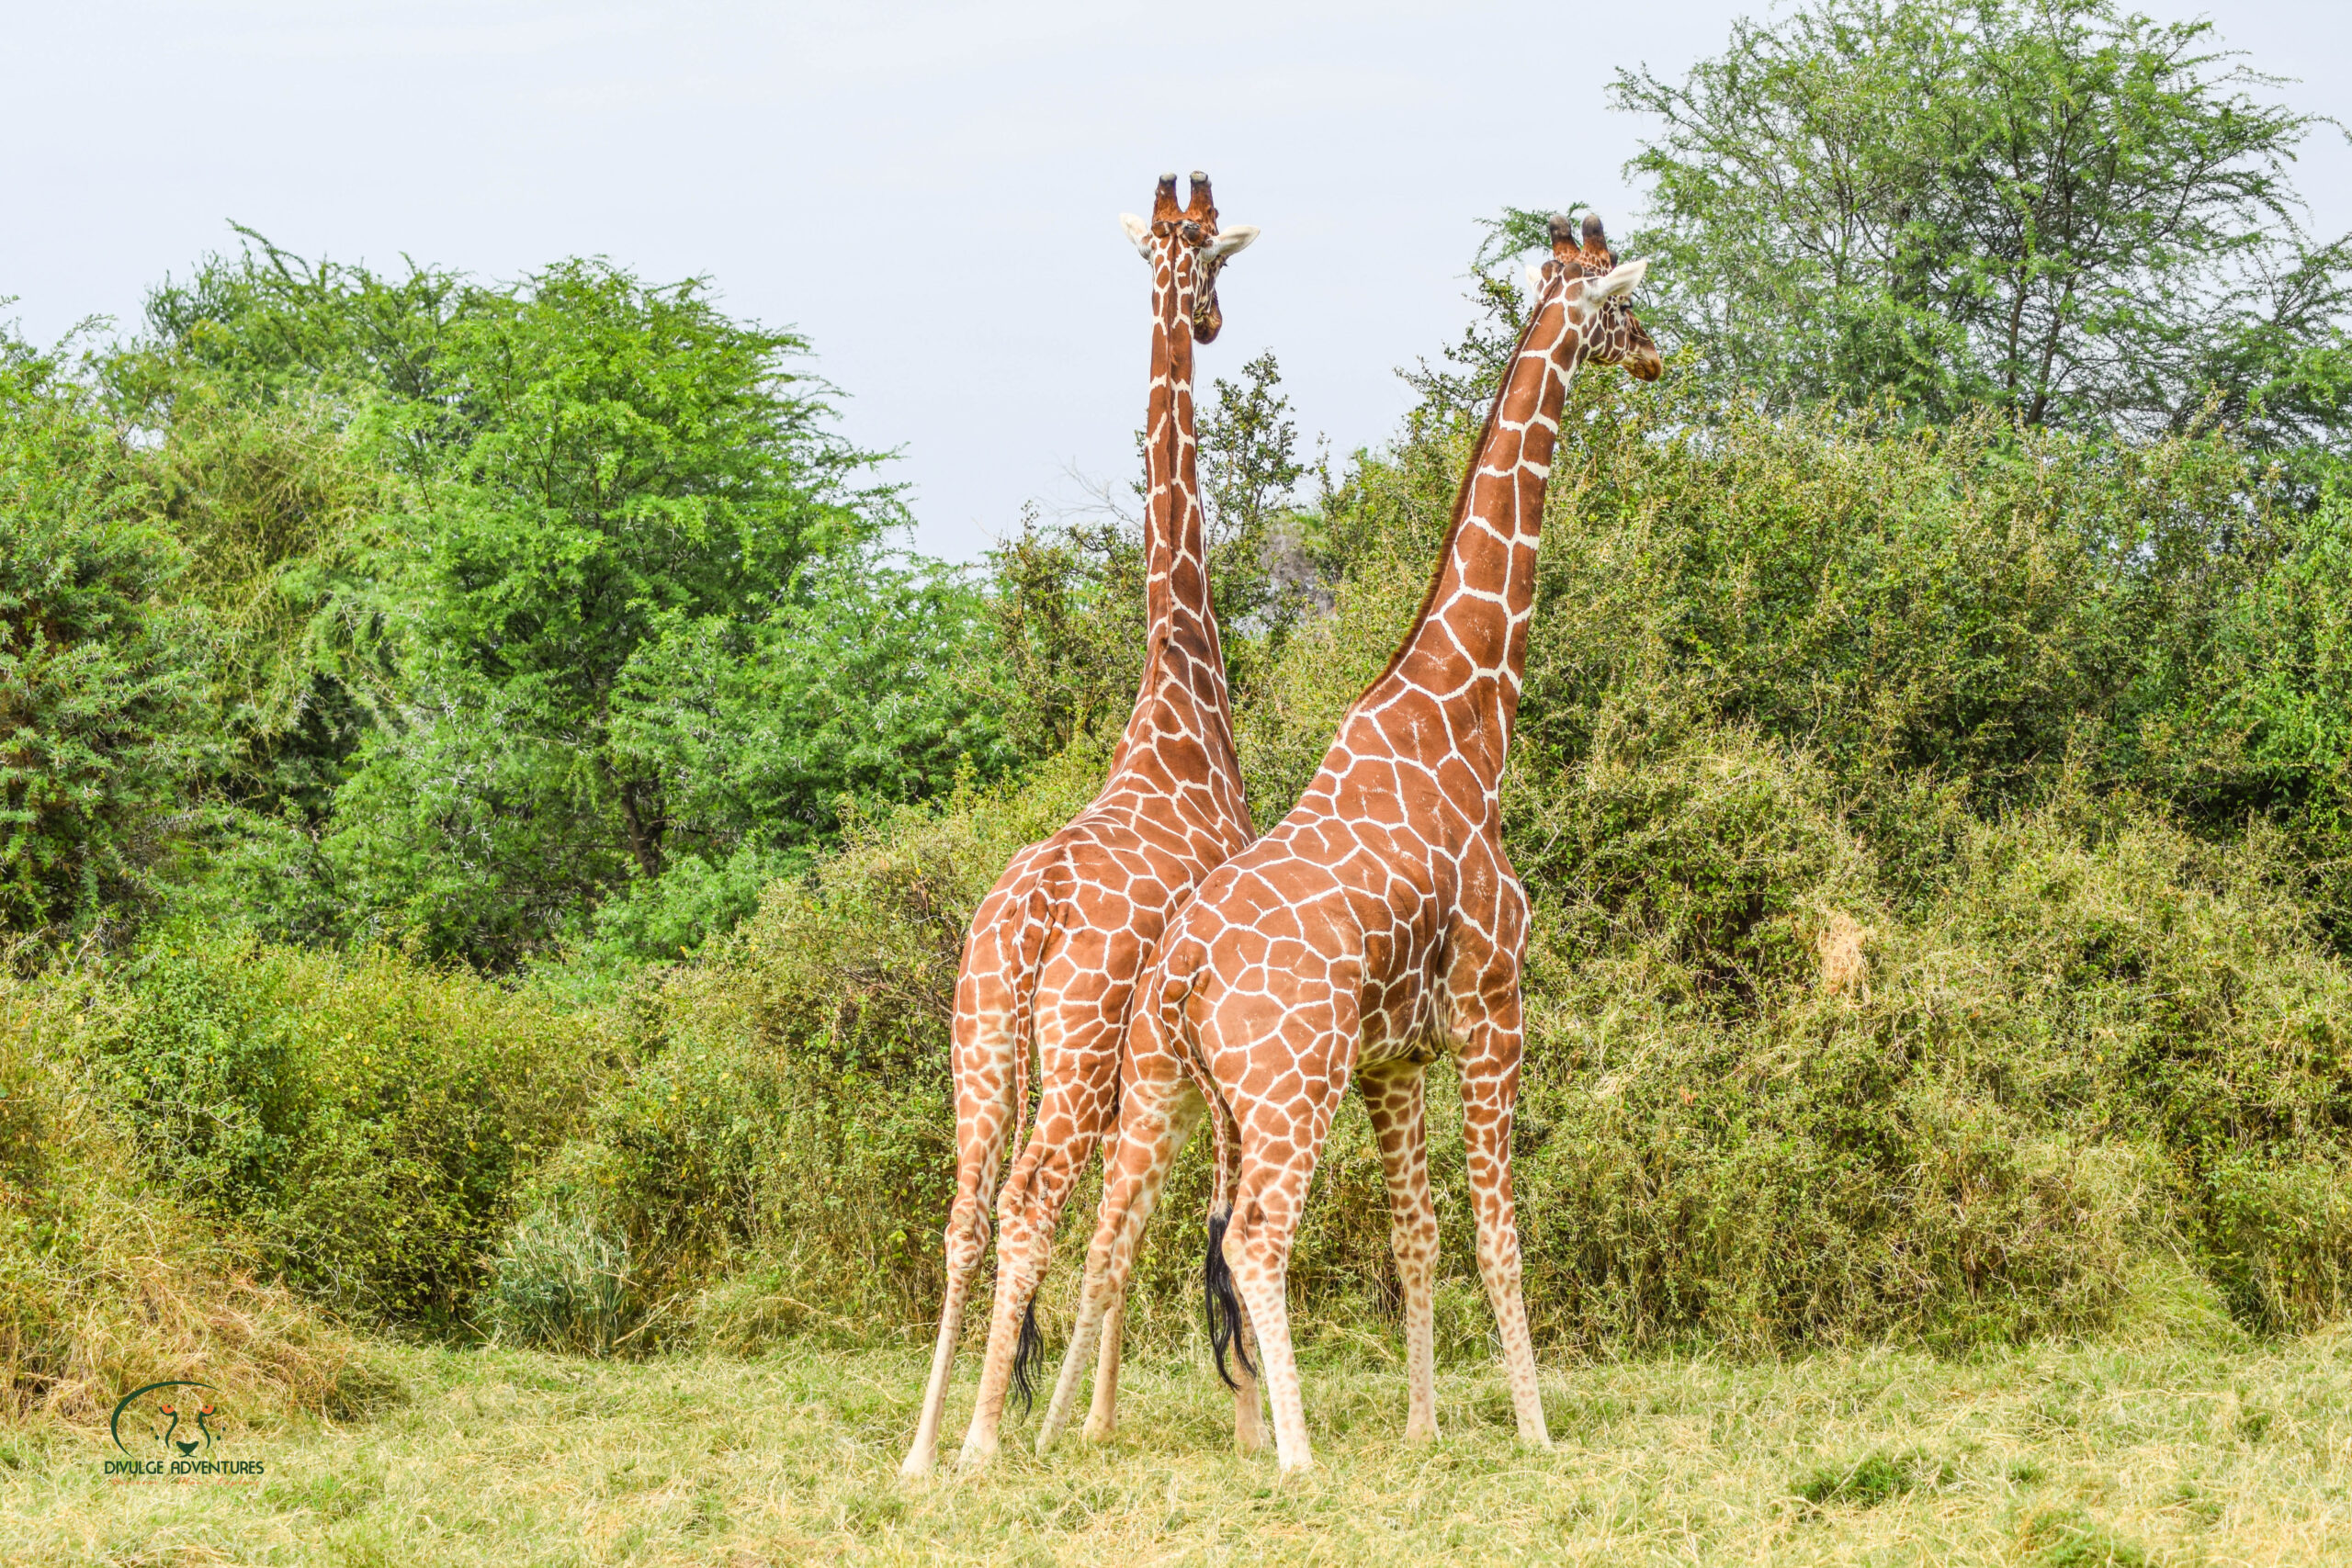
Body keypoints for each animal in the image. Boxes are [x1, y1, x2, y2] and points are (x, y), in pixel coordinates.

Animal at [899, 172, 1262, 1479]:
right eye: (1216, 259)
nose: (1209, 320)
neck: (1179, 701)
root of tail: (1027, 925)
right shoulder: (1172, 1045)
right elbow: (1162, 1211)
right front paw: (1126, 1418)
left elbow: (1130, 1215)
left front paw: (1089, 1413)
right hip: (1071, 1047)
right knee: (1032, 1203)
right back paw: (983, 1441)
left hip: (980, 1040)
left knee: (964, 1212)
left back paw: (925, 1442)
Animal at [1037, 214, 1660, 1472]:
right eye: (1621, 305)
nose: (1659, 357)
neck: (1467, 723)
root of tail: (1180, 969)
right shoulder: (1493, 1010)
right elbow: (1497, 1234)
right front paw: (1534, 1431)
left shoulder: (1393, 1057)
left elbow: (1415, 1236)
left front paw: (1424, 1425)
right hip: (1285, 1087)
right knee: (1253, 1237)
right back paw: (1292, 1451)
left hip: (1173, 1084)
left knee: (1131, 1231)